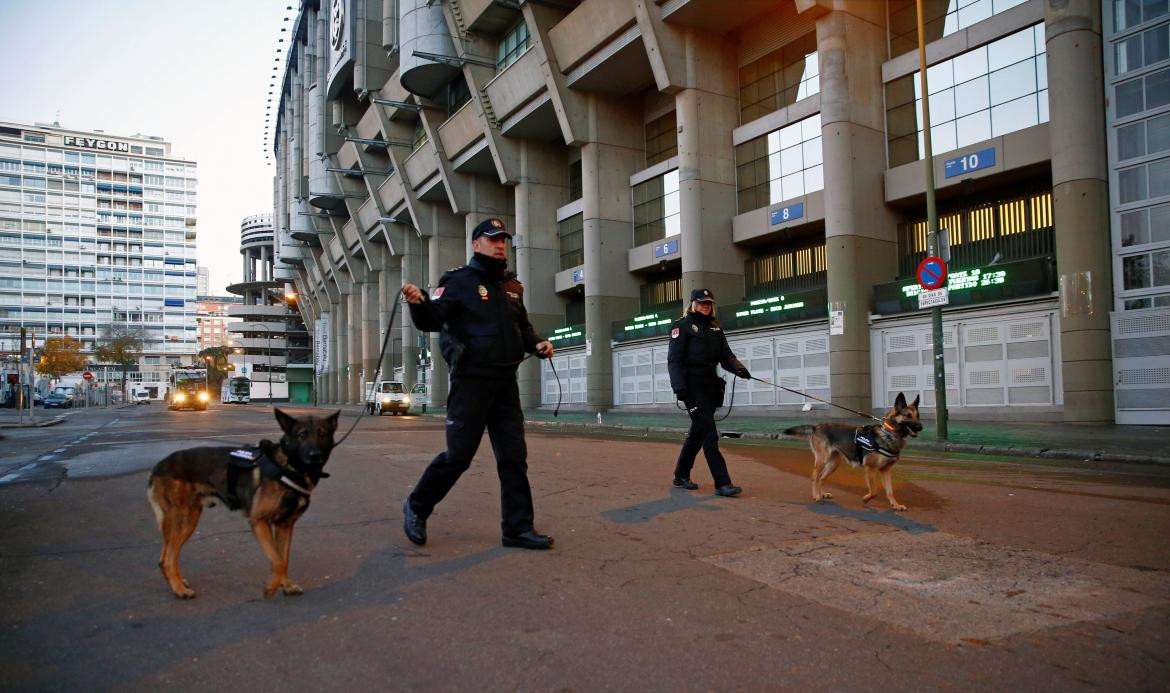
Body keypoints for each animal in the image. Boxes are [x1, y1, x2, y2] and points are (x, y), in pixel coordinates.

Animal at [145, 409, 339, 599]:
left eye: (322, 434)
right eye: (301, 435)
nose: (315, 455)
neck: (289, 466)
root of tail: (158, 466)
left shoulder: (285, 525)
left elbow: (284, 559)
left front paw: (287, 585)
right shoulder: (259, 521)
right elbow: (277, 559)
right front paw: (271, 587)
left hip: (184, 519)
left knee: (164, 558)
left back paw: (178, 582)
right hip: (185, 520)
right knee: (169, 559)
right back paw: (179, 589)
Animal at [786, 393, 921, 512]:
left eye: (917, 416)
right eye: (908, 416)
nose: (920, 427)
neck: (889, 433)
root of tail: (816, 426)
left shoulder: (886, 471)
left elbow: (890, 491)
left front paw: (896, 505)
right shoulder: (870, 469)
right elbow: (874, 491)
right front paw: (866, 499)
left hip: (833, 464)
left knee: (822, 477)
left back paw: (823, 493)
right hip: (822, 460)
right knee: (815, 476)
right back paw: (816, 496)